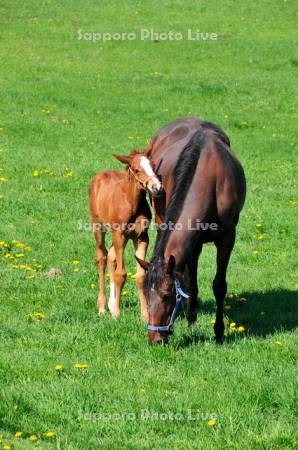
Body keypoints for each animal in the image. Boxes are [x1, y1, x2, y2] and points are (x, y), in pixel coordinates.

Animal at [89, 151, 162, 320]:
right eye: (136, 169)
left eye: (153, 165)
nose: (156, 187)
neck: (131, 203)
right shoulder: (119, 234)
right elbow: (120, 274)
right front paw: (116, 313)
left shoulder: (142, 237)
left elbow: (140, 276)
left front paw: (145, 315)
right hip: (98, 226)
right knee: (102, 257)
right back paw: (102, 307)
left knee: (111, 256)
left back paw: (110, 303)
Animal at [136, 116, 246, 344]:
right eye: (147, 295)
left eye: (167, 296)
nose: (155, 339)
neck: (210, 179)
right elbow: (188, 280)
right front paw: (190, 319)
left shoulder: (227, 238)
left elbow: (219, 285)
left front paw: (219, 331)